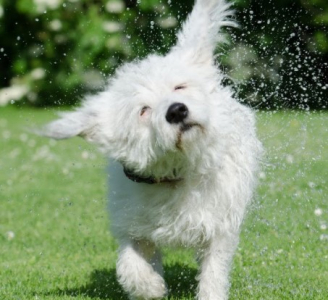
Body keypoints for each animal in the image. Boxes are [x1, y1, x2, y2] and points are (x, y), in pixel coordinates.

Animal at [41, 0, 262, 298]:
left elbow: (213, 272)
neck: (175, 174)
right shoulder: (133, 226)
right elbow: (130, 264)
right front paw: (152, 286)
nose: (177, 110)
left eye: (179, 86)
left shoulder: (218, 227)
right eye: (143, 110)